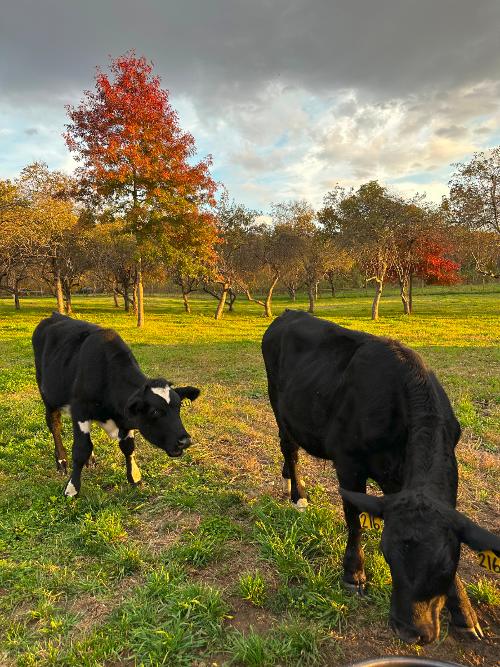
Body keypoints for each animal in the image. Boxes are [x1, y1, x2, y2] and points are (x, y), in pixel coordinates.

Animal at [33, 313, 200, 497]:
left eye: (179, 407)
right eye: (155, 411)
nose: (185, 440)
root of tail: (54, 315)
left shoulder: (125, 419)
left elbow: (128, 447)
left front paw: (134, 477)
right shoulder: (80, 411)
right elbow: (81, 449)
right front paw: (72, 489)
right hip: (48, 397)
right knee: (55, 426)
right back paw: (61, 461)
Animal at [262, 309, 499, 645]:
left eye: (446, 565)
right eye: (387, 554)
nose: (410, 630)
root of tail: (288, 313)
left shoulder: (398, 482)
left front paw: (465, 614)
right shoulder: (348, 462)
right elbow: (354, 520)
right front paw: (353, 575)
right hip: (279, 406)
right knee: (290, 447)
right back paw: (298, 495)